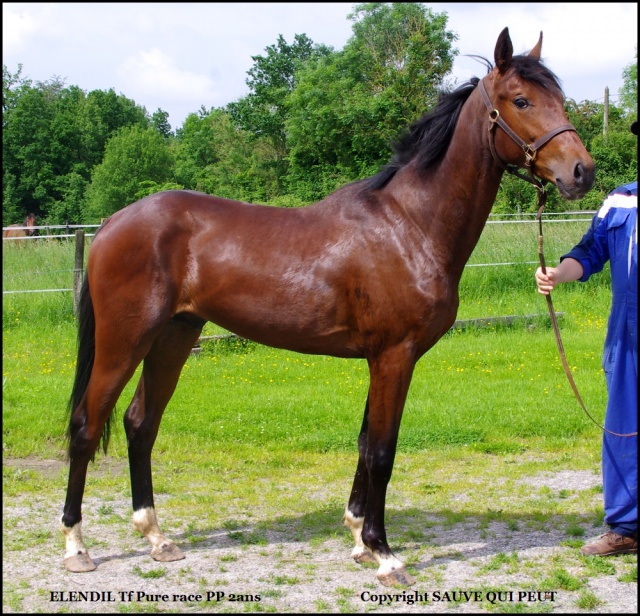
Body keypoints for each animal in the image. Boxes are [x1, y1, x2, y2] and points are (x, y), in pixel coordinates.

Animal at [61, 28, 596, 588]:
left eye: (560, 99)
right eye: (521, 100)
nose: (582, 171)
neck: (410, 225)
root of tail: (111, 223)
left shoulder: (380, 360)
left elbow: (364, 443)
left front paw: (359, 537)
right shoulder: (394, 357)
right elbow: (382, 451)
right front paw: (385, 554)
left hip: (174, 336)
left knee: (140, 423)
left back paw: (157, 538)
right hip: (125, 341)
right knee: (86, 425)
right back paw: (76, 546)